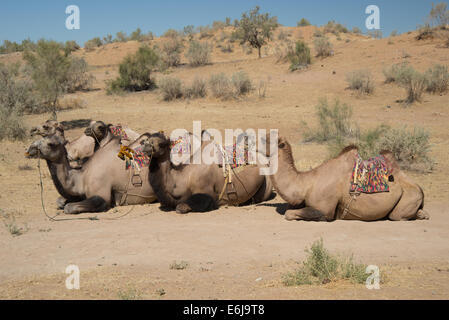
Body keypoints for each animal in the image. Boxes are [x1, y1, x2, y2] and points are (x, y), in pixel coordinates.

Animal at [26, 129, 157, 214]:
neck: (82, 178)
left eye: (51, 144)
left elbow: (69, 207)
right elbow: (60, 201)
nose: (30, 148)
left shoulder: (102, 196)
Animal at [268, 136, 428, 221]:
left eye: (265, 139)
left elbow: (289, 214)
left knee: (397, 215)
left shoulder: (325, 209)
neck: (306, 183)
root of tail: (420, 188)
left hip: (409, 198)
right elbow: (289, 209)